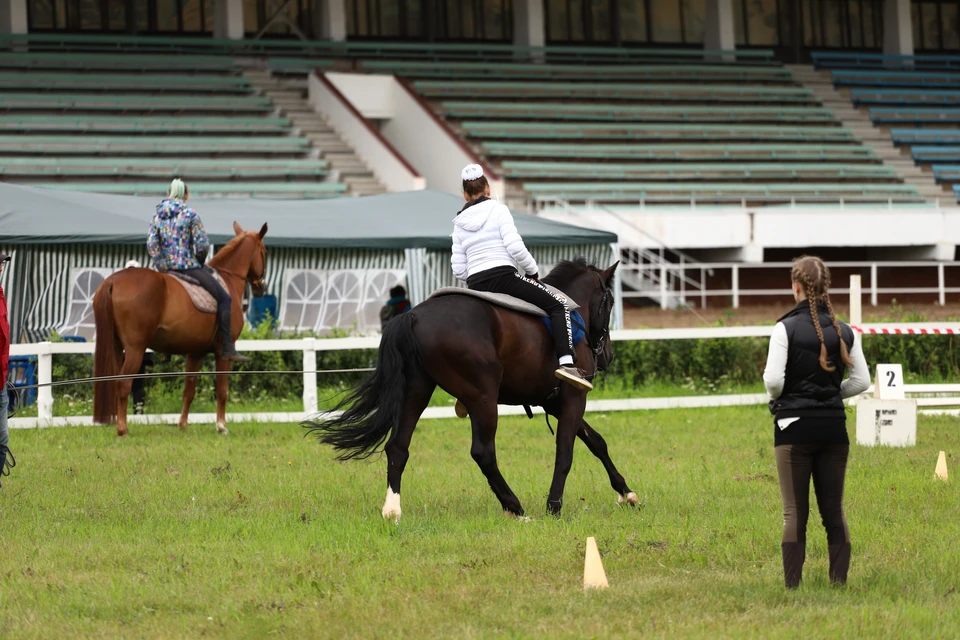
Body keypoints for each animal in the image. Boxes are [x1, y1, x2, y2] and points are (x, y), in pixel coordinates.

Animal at [92, 222, 268, 438]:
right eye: (264, 252)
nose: (261, 288)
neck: (227, 279)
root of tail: (113, 280)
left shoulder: (196, 353)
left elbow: (189, 390)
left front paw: (182, 425)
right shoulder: (223, 353)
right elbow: (222, 390)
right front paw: (221, 426)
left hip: (117, 348)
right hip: (135, 349)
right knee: (124, 384)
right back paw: (122, 429)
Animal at [308, 258, 636, 520]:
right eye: (609, 303)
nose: (607, 355)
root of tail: (412, 315)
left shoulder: (554, 402)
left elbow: (596, 441)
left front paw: (626, 492)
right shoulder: (573, 398)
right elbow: (566, 452)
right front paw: (554, 506)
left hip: (416, 391)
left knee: (398, 447)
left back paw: (392, 509)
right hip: (482, 398)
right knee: (483, 453)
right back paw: (515, 508)